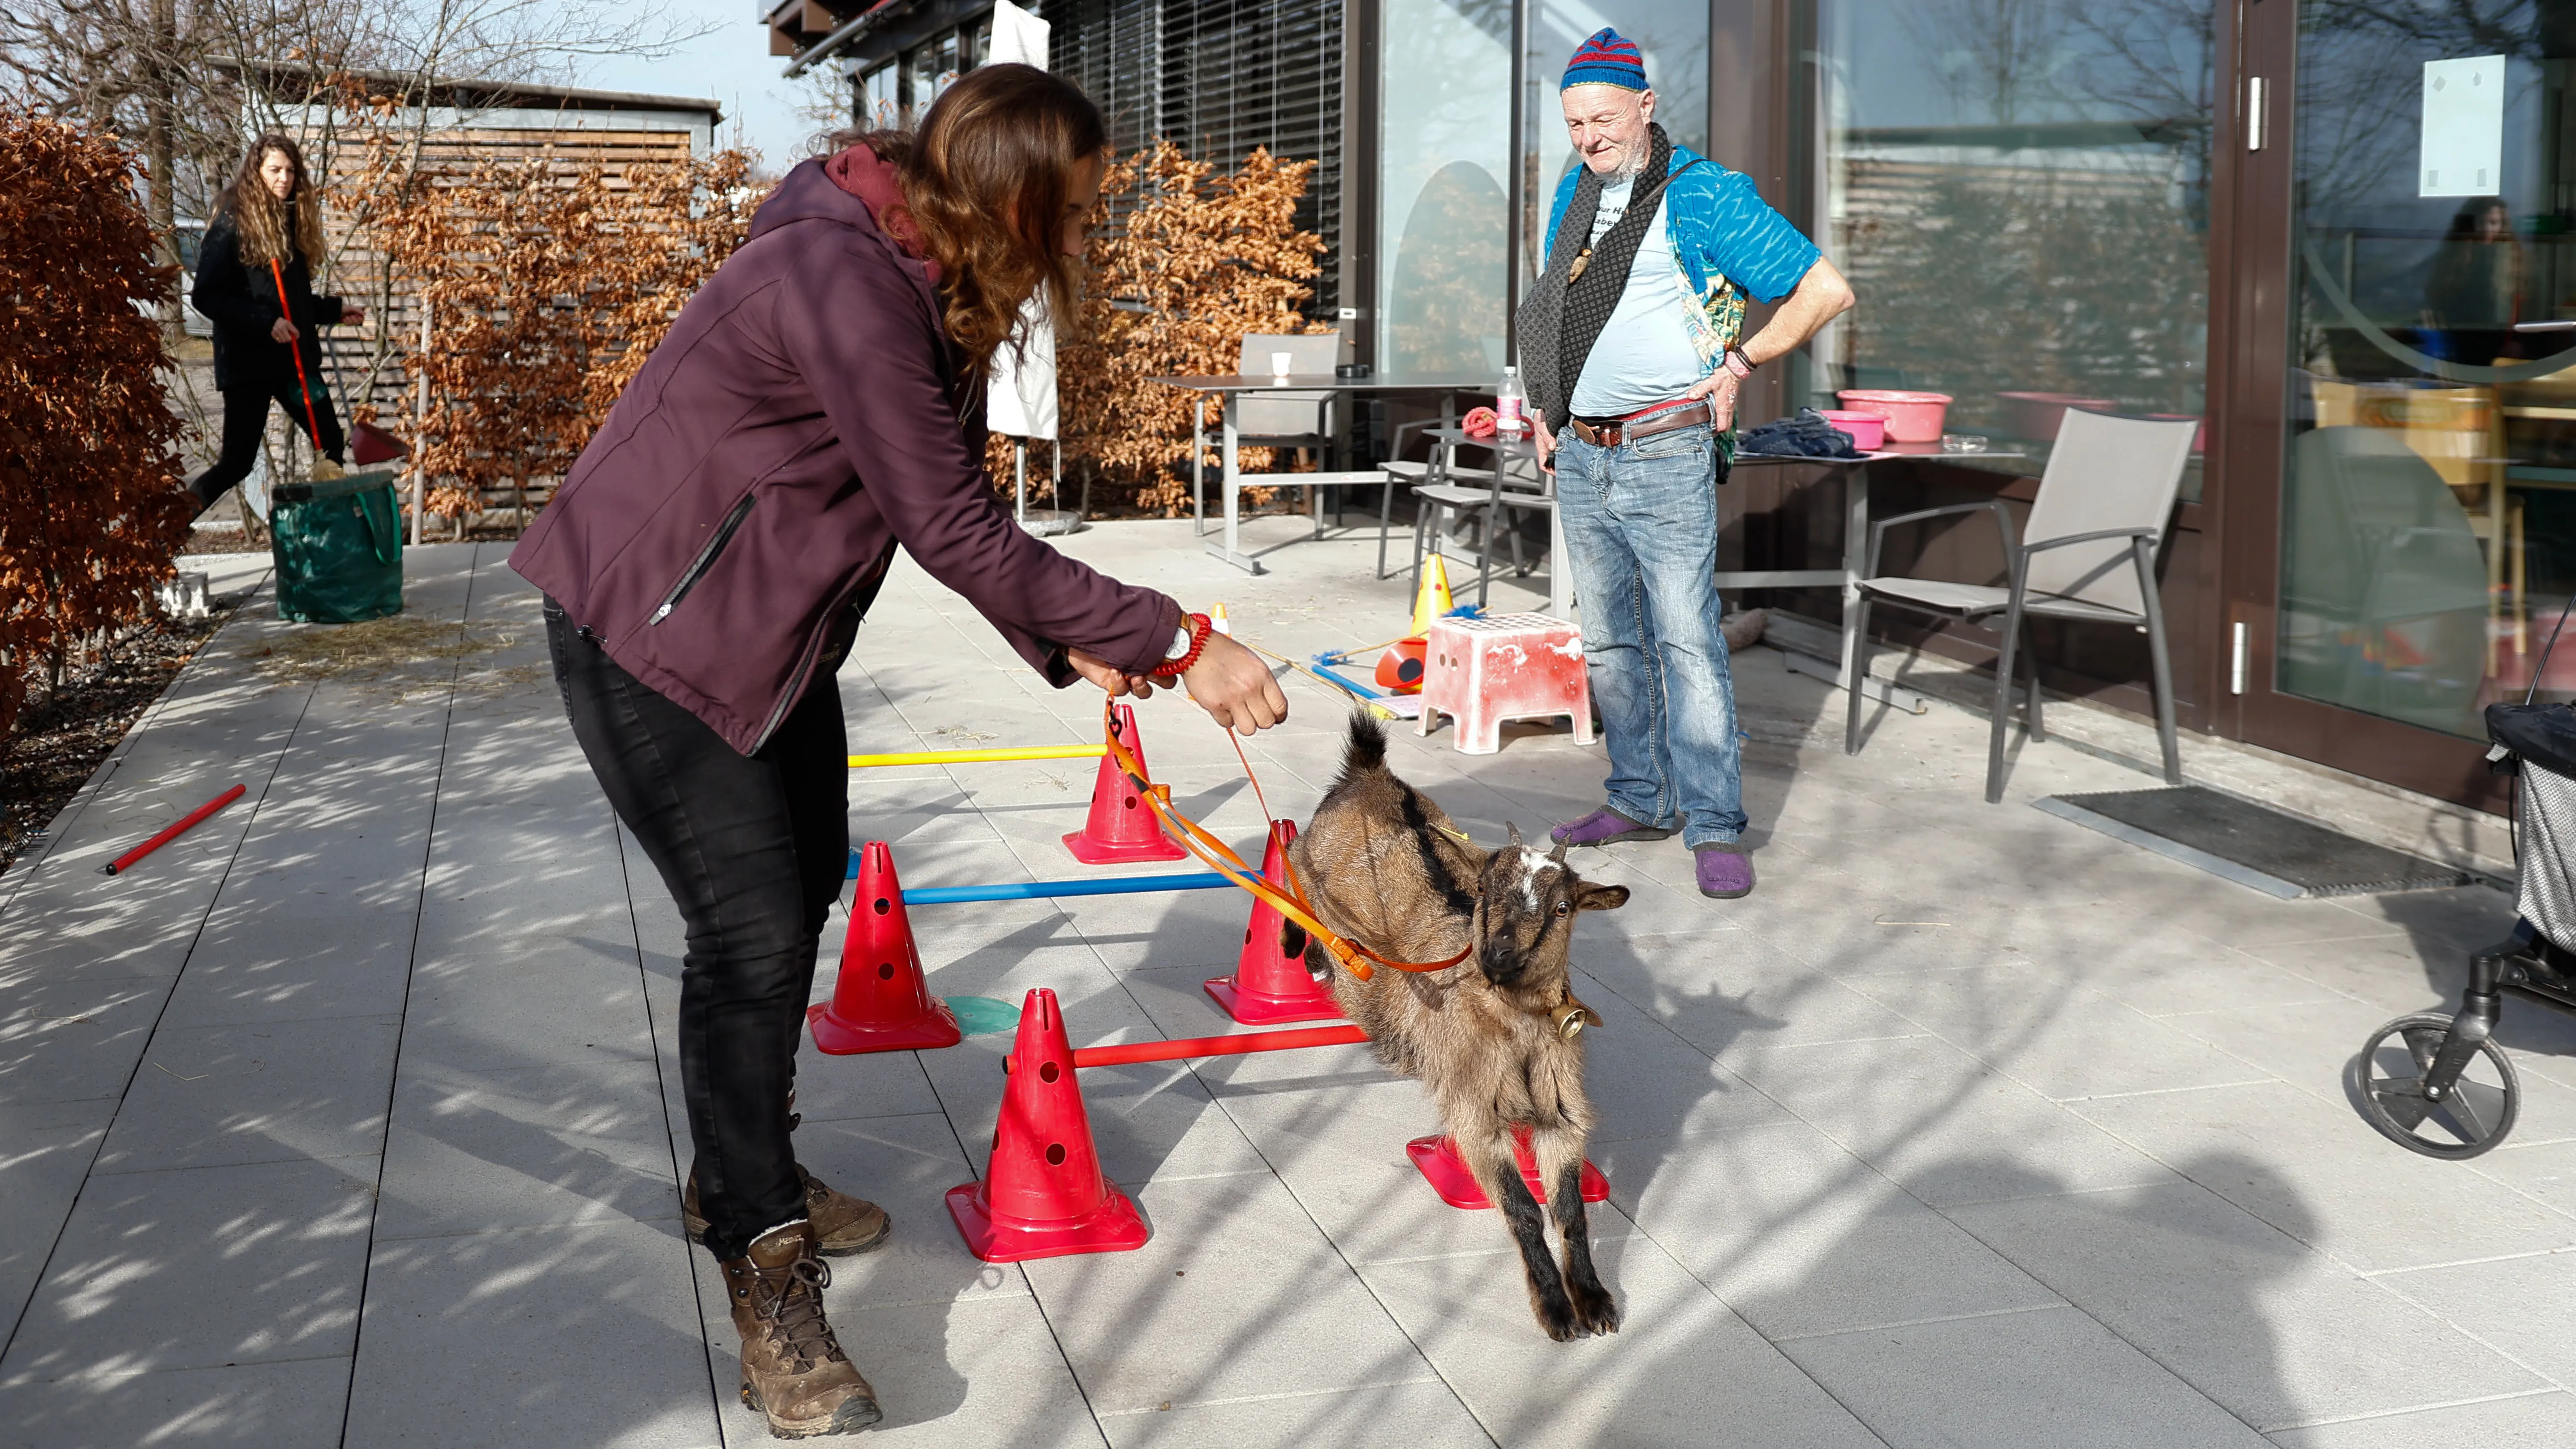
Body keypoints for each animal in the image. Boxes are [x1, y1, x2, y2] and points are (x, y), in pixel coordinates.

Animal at [1288, 715, 1628, 1338]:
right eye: (1486, 892)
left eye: (1563, 907)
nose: (1499, 955)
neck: (1514, 1027)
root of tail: (1371, 772)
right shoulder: (1476, 1113)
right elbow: (1522, 1208)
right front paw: (1554, 1308)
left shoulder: (1560, 1112)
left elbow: (1569, 1209)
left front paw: (1593, 1299)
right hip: (1301, 866)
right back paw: (1300, 948)